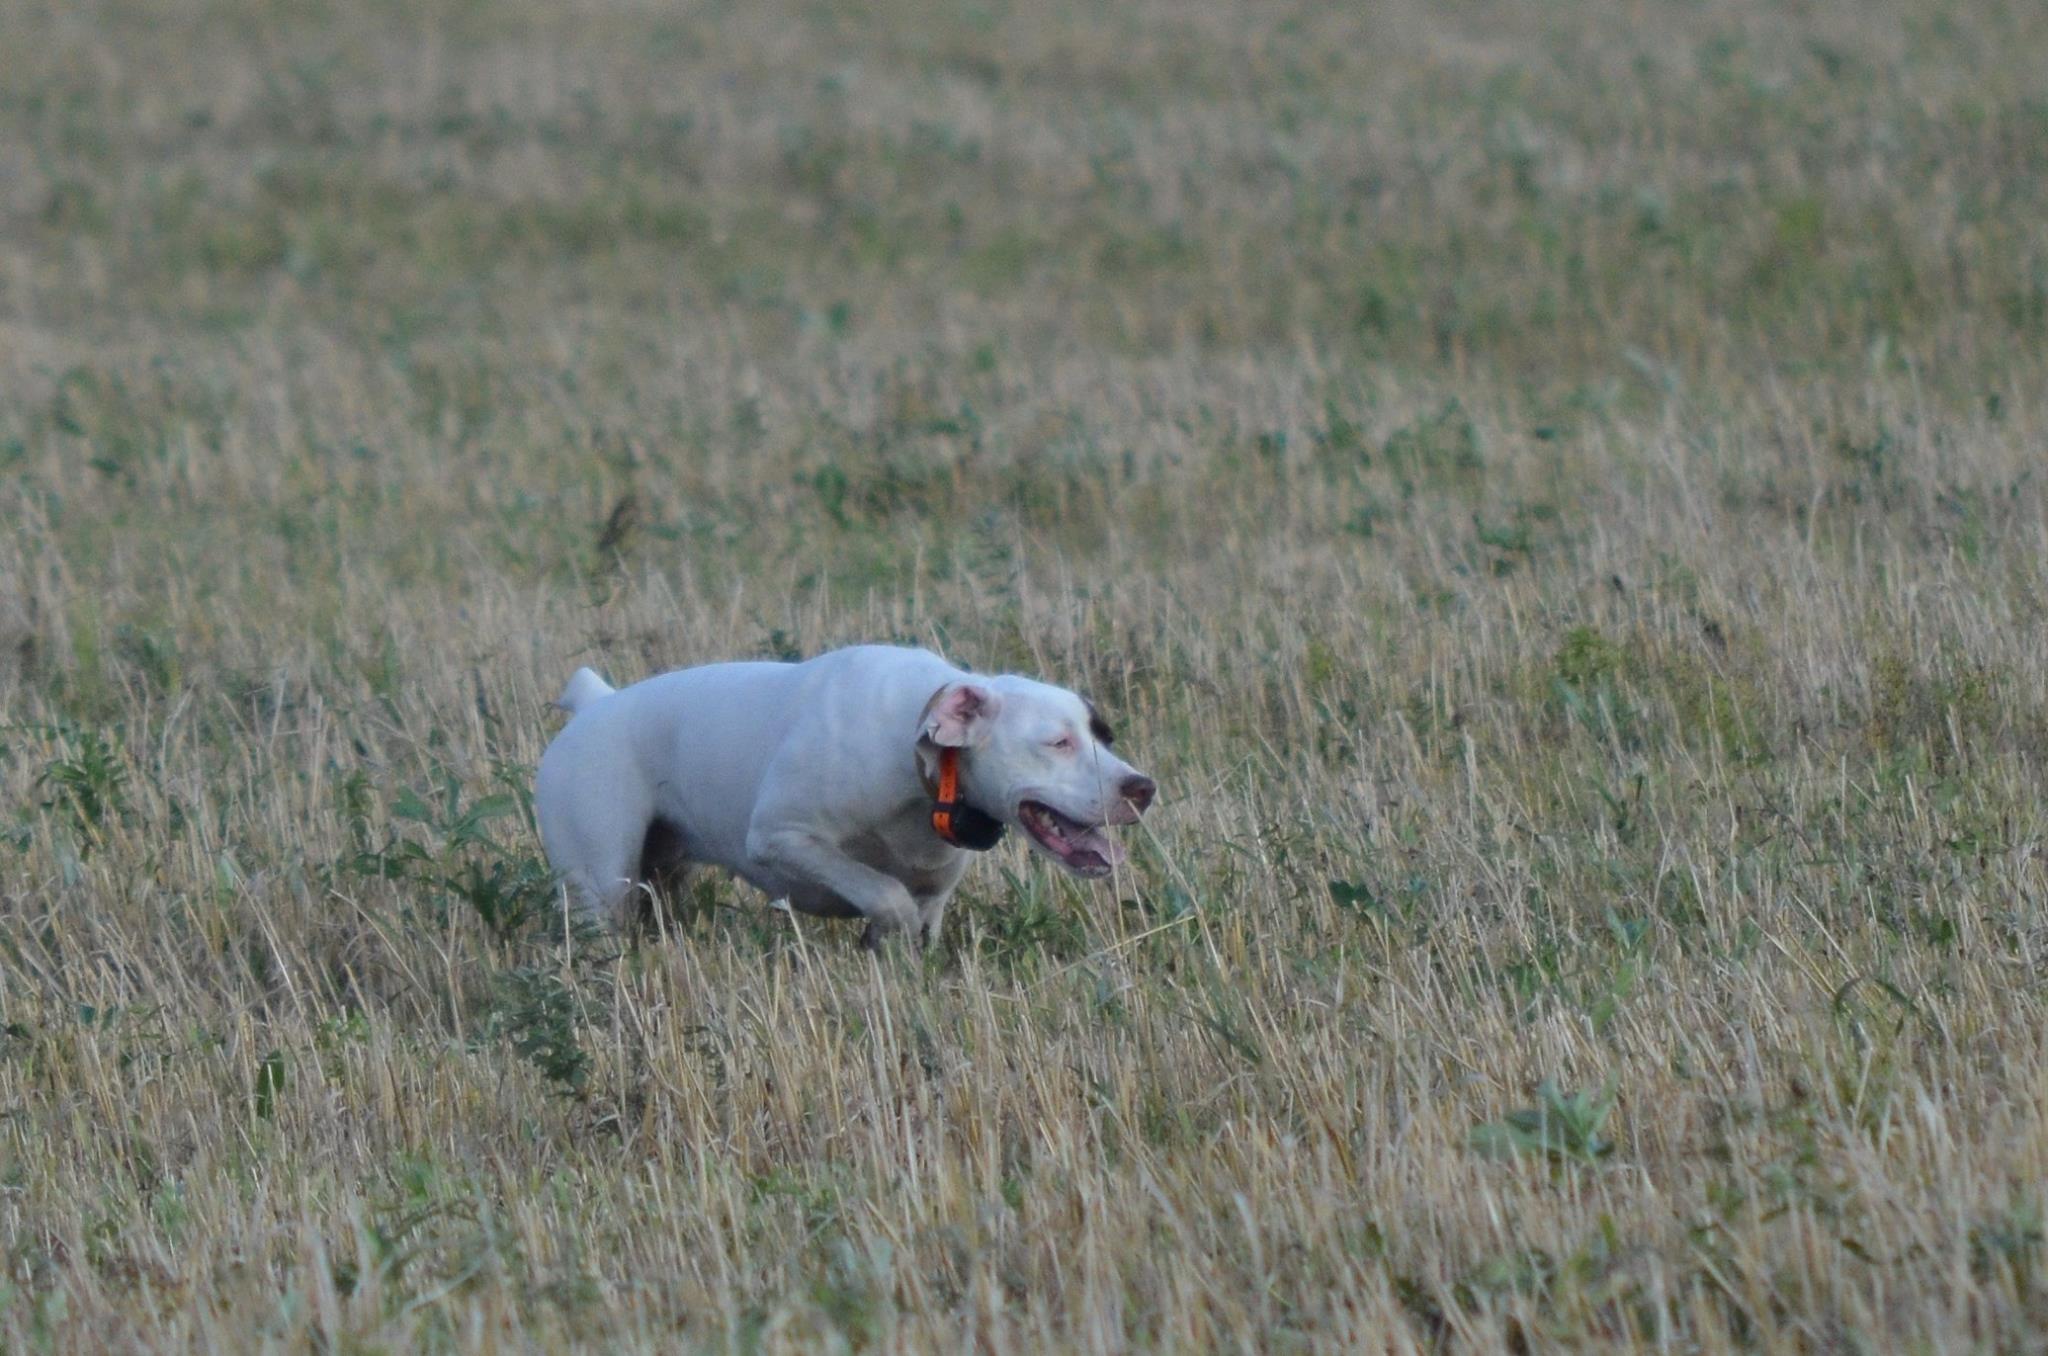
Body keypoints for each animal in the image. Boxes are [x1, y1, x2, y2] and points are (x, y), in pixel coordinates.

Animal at [534, 645, 1155, 946]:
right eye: (1057, 742)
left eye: (1101, 735)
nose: (1143, 788)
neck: (919, 759)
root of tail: (594, 705)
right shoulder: (782, 839)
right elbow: (883, 892)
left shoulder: (934, 896)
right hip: (602, 886)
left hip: (661, 881)